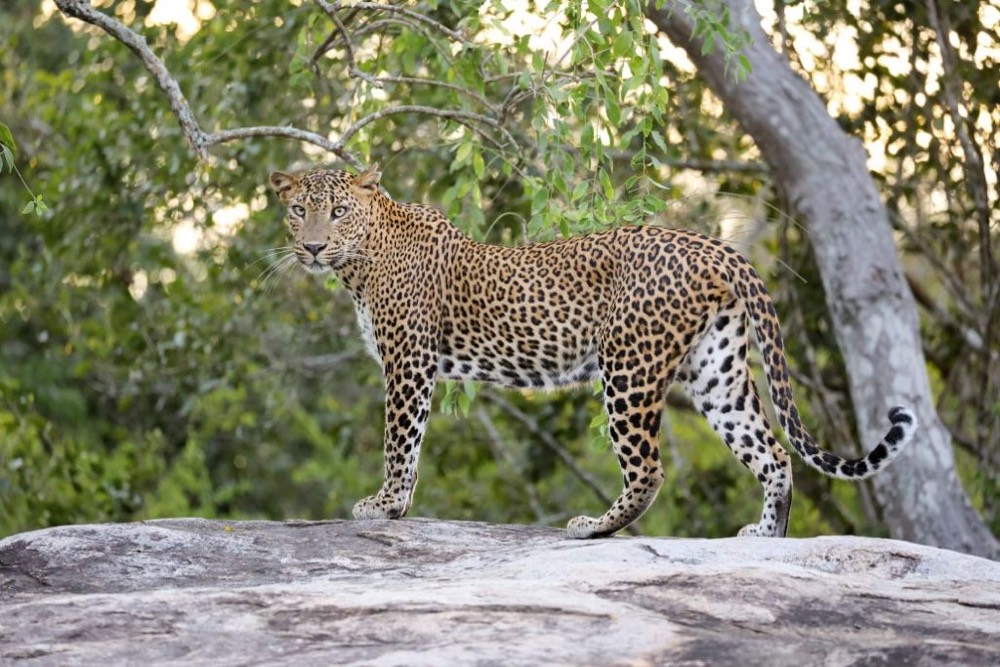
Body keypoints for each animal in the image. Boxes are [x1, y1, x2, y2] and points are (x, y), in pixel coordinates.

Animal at [268, 164, 918, 538]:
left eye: (338, 211)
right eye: (299, 211)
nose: (313, 247)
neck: (361, 259)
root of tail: (716, 247)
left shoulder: (408, 362)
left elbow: (400, 442)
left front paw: (385, 508)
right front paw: (393, 508)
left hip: (628, 366)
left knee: (649, 467)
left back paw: (594, 526)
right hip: (717, 372)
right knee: (774, 454)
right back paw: (764, 538)